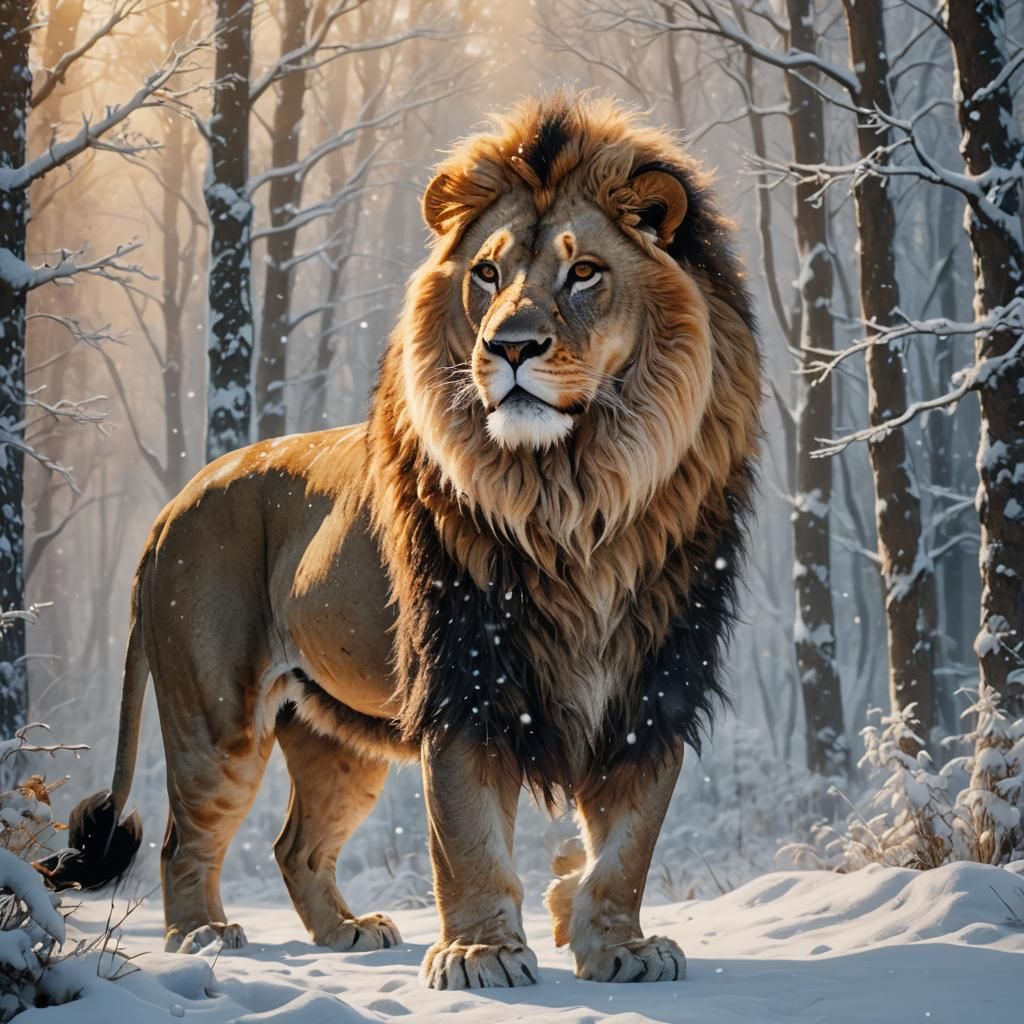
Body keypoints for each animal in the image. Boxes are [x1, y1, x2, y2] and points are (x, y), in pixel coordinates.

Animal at [53, 95, 760, 988]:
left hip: (332, 735)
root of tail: (175, 500)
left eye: (585, 272)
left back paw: (346, 931)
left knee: (294, 846)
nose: (510, 346)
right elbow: (465, 834)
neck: (572, 495)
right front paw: (482, 955)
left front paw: (613, 941)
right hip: (216, 714)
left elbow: (628, 844)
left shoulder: (655, 681)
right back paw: (205, 937)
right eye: (487, 274)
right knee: (185, 840)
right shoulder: (465, 674)